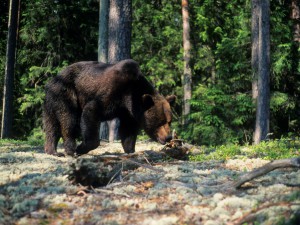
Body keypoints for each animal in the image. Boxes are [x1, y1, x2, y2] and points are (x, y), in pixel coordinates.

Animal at [43, 59, 177, 156]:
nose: (168, 137)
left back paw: (52, 150)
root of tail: (52, 80)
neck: (129, 97)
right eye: (160, 121)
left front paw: (130, 149)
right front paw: (82, 147)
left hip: (51, 103)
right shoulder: (112, 92)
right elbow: (91, 110)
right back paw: (70, 149)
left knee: (51, 126)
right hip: (66, 93)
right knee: (68, 120)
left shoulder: (128, 112)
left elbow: (128, 130)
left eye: (169, 121)